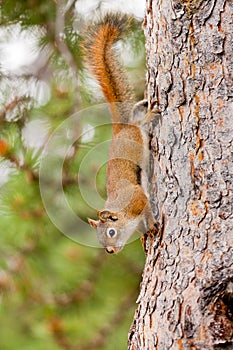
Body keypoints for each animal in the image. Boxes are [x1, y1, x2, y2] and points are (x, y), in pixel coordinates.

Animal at [83, 13, 157, 254]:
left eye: (111, 232)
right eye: (100, 240)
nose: (111, 251)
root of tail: (119, 130)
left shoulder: (137, 198)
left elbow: (146, 208)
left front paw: (153, 224)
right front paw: (146, 234)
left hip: (135, 137)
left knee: (138, 124)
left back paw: (148, 116)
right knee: (135, 114)